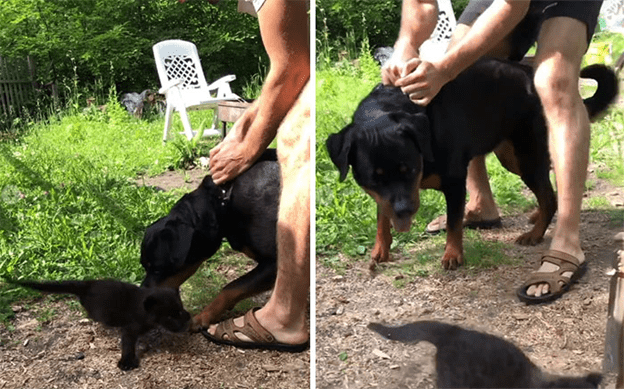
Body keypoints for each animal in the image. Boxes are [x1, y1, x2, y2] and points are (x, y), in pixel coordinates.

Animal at [10, 278, 190, 370]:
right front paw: (126, 363)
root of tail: (87, 283)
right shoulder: (129, 329)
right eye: (169, 316)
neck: (144, 310)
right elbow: (128, 345)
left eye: (180, 310)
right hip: (100, 312)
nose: (185, 324)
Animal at [141, 148, 280, 328]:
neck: (223, 201)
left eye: (158, 269)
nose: (143, 300)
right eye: (143, 266)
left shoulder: (274, 262)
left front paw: (204, 316)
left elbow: (232, 287)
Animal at [330, 57, 616, 270]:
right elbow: (381, 216)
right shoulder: (384, 195)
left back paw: (535, 234)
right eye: (374, 179)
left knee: (549, 196)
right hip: (512, 156)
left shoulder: (455, 182)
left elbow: (454, 223)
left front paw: (452, 255)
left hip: (526, 157)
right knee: (548, 191)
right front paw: (381, 249)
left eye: (410, 169)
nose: (405, 210)